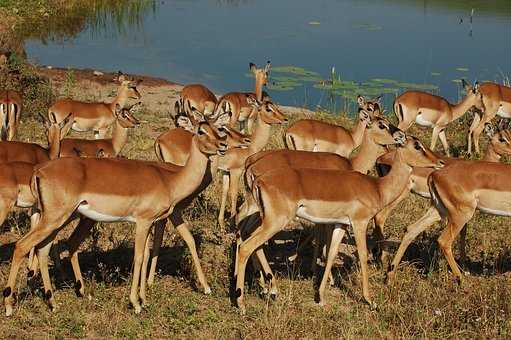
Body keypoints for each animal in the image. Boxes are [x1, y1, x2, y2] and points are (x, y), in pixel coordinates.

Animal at [2, 117, 249, 316]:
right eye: (201, 130)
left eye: (218, 129)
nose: (222, 145)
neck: (170, 180)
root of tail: (38, 171)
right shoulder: (143, 222)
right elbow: (139, 257)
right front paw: (136, 304)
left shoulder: (152, 223)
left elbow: (147, 254)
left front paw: (144, 299)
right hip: (55, 218)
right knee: (22, 246)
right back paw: (9, 305)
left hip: (58, 219)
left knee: (43, 249)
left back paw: (53, 303)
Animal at [216, 97, 288, 228]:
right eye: (268, 108)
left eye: (275, 106)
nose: (285, 119)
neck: (252, 144)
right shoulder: (236, 171)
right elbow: (233, 193)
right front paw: (232, 223)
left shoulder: (225, 171)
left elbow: (224, 191)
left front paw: (222, 225)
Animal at [235, 133, 444, 314]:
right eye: (417, 146)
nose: (440, 162)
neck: (377, 187)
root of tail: (258, 179)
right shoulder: (360, 223)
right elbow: (362, 255)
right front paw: (370, 300)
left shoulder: (340, 225)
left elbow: (332, 253)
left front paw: (320, 297)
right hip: (275, 221)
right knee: (246, 247)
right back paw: (243, 304)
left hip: (264, 219)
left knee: (249, 240)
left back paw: (266, 290)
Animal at [386, 122, 511, 282]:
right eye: (502, 138)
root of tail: (435, 174)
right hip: (461, 215)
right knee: (443, 241)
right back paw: (461, 279)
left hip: (439, 210)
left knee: (411, 229)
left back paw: (390, 275)